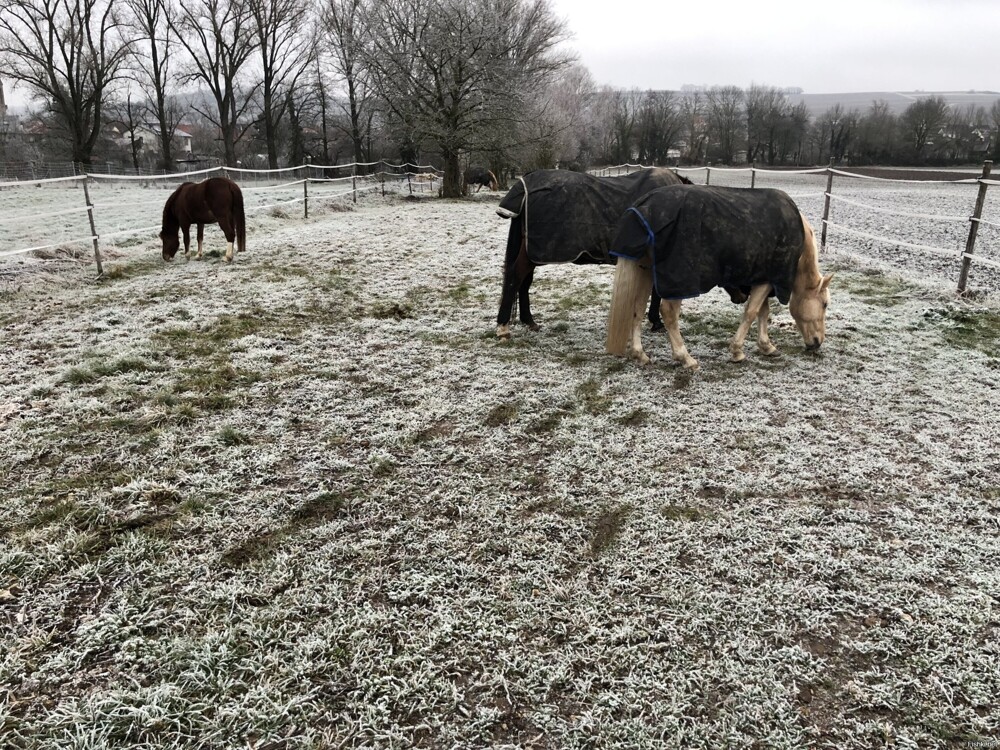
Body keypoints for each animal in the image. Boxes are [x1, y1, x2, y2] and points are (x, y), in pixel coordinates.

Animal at [494, 168, 696, 340]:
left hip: (532, 254)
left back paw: (528, 320)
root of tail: (527, 183)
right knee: (515, 277)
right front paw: (656, 322)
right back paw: (503, 327)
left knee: (524, 282)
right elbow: (656, 292)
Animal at [604, 187, 832, 372]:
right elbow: (751, 312)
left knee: (637, 309)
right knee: (668, 313)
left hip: (644, 271)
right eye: (825, 304)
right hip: (678, 280)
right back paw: (685, 358)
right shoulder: (767, 279)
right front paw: (737, 351)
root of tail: (643, 208)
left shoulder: (760, 278)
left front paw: (766, 346)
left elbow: (762, 312)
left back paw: (640, 354)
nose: (818, 342)